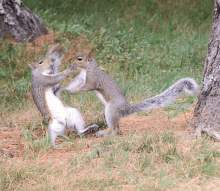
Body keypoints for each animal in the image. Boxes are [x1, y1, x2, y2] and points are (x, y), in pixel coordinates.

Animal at [64, 48, 199, 137]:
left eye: (80, 59)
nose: (69, 61)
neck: (88, 69)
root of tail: (126, 109)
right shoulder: (82, 78)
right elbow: (77, 82)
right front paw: (68, 88)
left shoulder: (93, 81)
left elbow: (86, 87)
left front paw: (74, 90)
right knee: (116, 128)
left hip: (111, 109)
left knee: (113, 126)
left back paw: (104, 131)